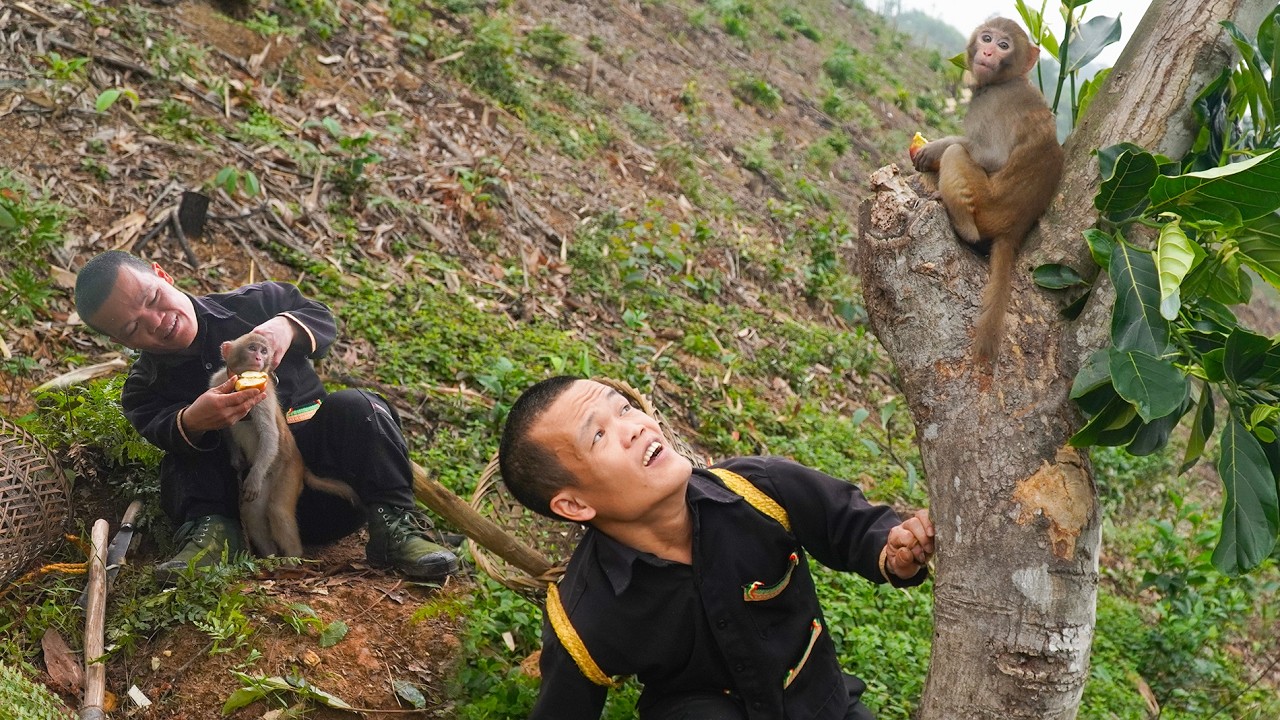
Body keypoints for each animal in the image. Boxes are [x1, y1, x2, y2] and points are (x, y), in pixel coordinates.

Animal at [210, 332, 359, 558]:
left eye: (264, 351)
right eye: (252, 348)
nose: (259, 358)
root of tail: (301, 464)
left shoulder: (261, 397)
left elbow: (270, 434)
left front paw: (251, 478)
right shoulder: (216, 384)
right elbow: (225, 428)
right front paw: (236, 461)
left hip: (287, 471)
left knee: (278, 510)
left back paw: (293, 559)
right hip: (270, 478)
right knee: (253, 513)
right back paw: (270, 557)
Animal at [911, 17, 1064, 363]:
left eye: (1004, 45)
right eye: (987, 38)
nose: (989, 51)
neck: (1007, 80)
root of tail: (1014, 230)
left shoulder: (991, 105)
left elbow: (988, 155)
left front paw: (935, 146)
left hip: (987, 207)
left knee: (957, 155)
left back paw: (961, 224)